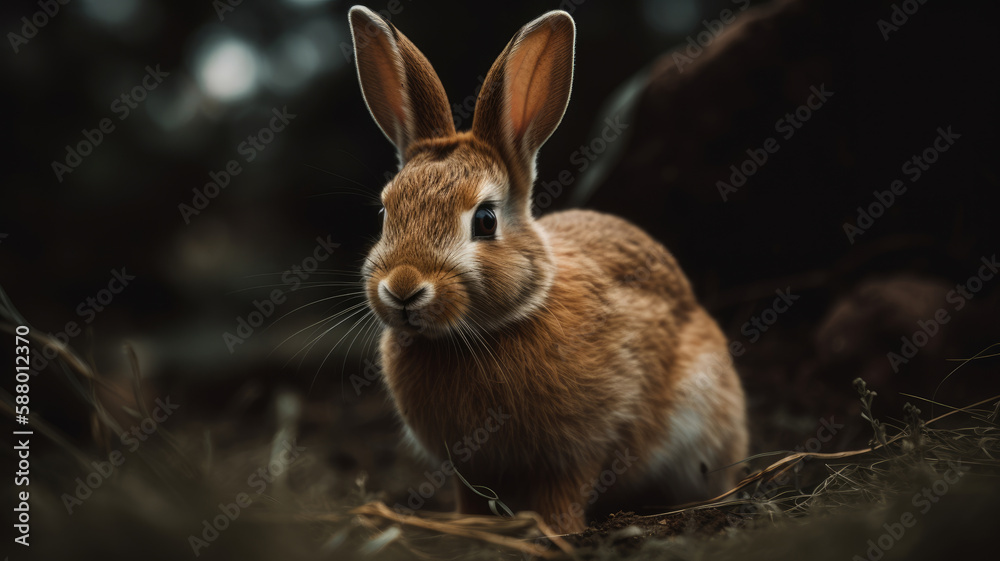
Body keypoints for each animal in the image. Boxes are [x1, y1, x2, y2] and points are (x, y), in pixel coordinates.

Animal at [348, 5, 748, 533]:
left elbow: (567, 490)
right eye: (384, 213)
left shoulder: (583, 447)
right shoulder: (470, 467)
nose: (403, 289)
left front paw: (556, 531)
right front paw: (467, 526)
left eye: (485, 220)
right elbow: (470, 498)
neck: (484, 331)